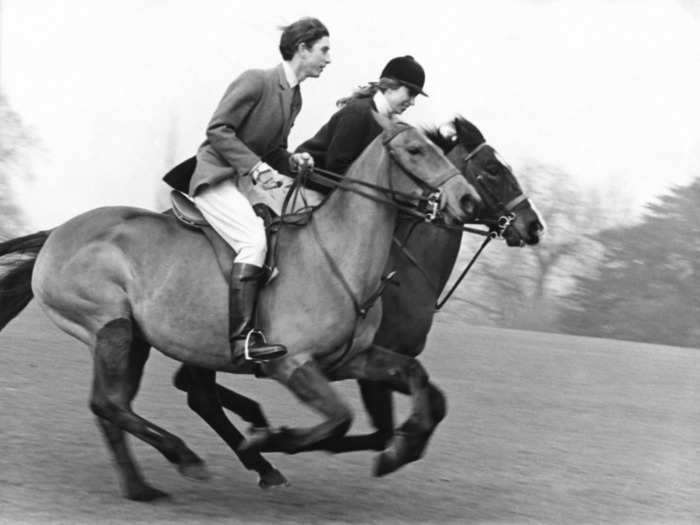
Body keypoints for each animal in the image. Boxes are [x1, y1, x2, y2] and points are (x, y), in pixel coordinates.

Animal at [0, 114, 482, 500]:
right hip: (110, 327)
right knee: (110, 403)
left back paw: (143, 485)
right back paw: (187, 458)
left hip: (135, 339)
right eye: (416, 150)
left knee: (114, 406)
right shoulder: (292, 364)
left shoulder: (352, 359)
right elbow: (340, 419)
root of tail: (58, 233)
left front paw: (404, 445)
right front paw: (267, 439)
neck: (340, 256)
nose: (468, 200)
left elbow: (414, 378)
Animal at [172, 117, 544, 478]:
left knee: (191, 387)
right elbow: (386, 429)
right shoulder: (364, 366)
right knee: (201, 397)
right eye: (493, 169)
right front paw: (390, 452)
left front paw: (404, 444)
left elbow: (433, 402)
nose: (534, 226)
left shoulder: (371, 360)